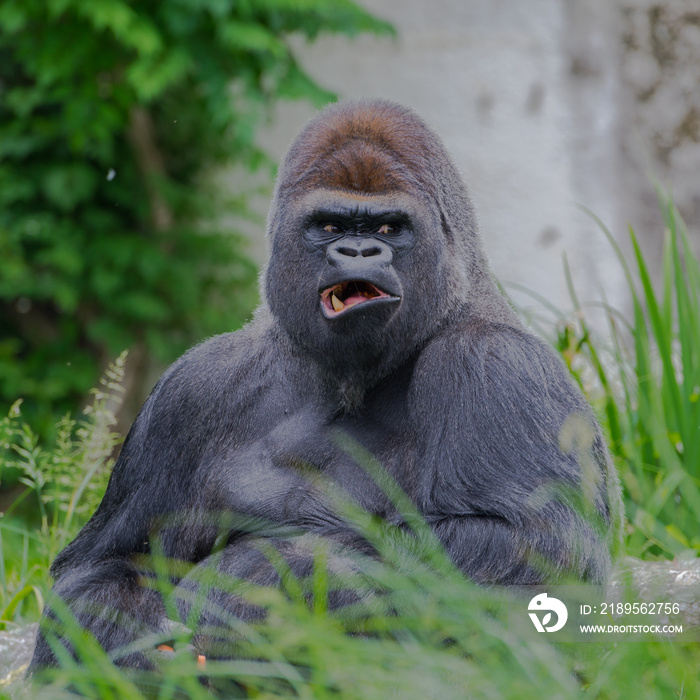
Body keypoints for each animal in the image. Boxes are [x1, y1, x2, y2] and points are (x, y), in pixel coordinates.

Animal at [31, 100, 624, 672]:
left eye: (388, 229)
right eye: (331, 225)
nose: (359, 253)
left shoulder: (495, 364)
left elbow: (535, 551)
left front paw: (265, 577)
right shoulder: (188, 392)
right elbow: (104, 566)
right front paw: (124, 648)